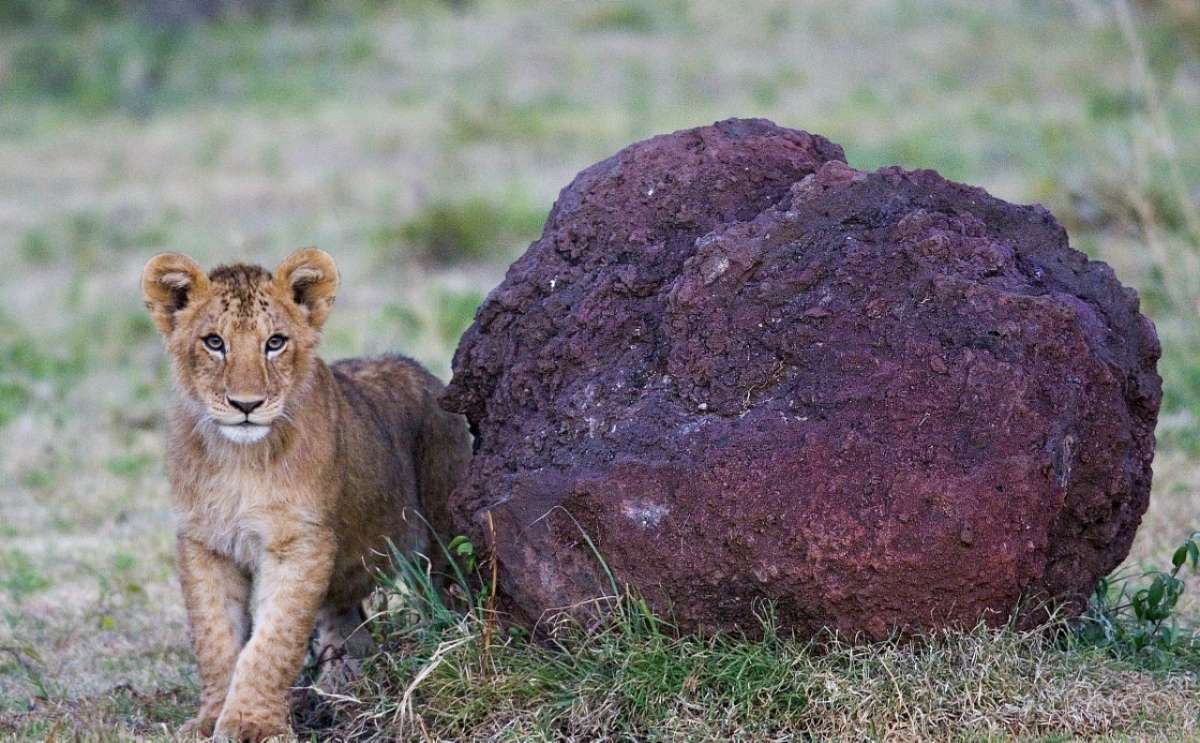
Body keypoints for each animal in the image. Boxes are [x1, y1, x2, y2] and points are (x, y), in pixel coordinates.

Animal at [141, 248, 471, 740]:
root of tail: (425, 375)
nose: (246, 405)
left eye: (275, 342)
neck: (240, 460)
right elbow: (215, 638)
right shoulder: (203, 543)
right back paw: (342, 684)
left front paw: (251, 724)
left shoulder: (300, 543)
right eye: (214, 342)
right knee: (346, 625)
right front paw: (209, 719)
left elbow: (273, 642)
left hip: (443, 540)